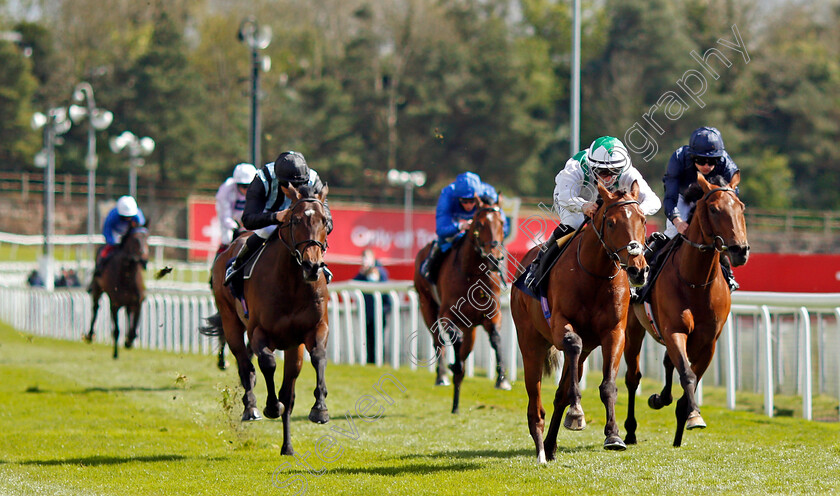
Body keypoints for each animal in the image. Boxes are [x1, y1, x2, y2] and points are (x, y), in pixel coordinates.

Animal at [85, 227, 149, 358]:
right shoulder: (114, 304)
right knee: (95, 308)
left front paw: (129, 341)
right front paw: (115, 354)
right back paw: (90, 335)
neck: (126, 275)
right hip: (97, 288)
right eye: (135, 240)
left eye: (147, 238)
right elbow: (116, 330)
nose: (144, 260)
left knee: (128, 314)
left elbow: (133, 329)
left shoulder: (138, 302)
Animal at [201, 184, 332, 456]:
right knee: (245, 366)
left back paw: (287, 447)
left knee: (288, 393)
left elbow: (318, 358)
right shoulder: (258, 332)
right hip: (230, 320)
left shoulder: (314, 329)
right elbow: (267, 364)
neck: (292, 283)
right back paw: (250, 407)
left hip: (293, 347)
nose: (312, 266)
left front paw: (320, 409)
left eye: (325, 220)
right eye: (295, 220)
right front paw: (271, 406)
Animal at [414, 202, 512, 414]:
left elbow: (496, 339)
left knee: (464, 356)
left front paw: (502, 379)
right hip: (427, 306)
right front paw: (453, 366)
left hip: (471, 330)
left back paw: (456, 405)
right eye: (480, 224)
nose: (495, 259)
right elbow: (453, 340)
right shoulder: (447, 314)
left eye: (502, 223)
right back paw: (442, 375)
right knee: (438, 341)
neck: (472, 274)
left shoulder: (493, 315)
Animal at [508, 180, 648, 464]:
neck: (595, 275)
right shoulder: (561, 325)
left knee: (561, 393)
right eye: (612, 223)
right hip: (530, 342)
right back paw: (540, 449)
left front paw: (613, 435)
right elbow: (572, 342)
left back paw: (550, 445)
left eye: (642, 219)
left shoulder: (614, 333)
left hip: (584, 350)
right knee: (535, 401)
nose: (637, 269)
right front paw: (576, 414)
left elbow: (607, 385)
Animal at [620, 172, 752, 448]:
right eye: (714, 209)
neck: (696, 281)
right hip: (632, 328)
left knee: (668, 364)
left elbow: (690, 377)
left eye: (741, 207)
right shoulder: (675, 331)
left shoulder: (708, 341)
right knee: (633, 377)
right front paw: (692, 415)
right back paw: (631, 430)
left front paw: (688, 417)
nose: (740, 251)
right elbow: (687, 375)